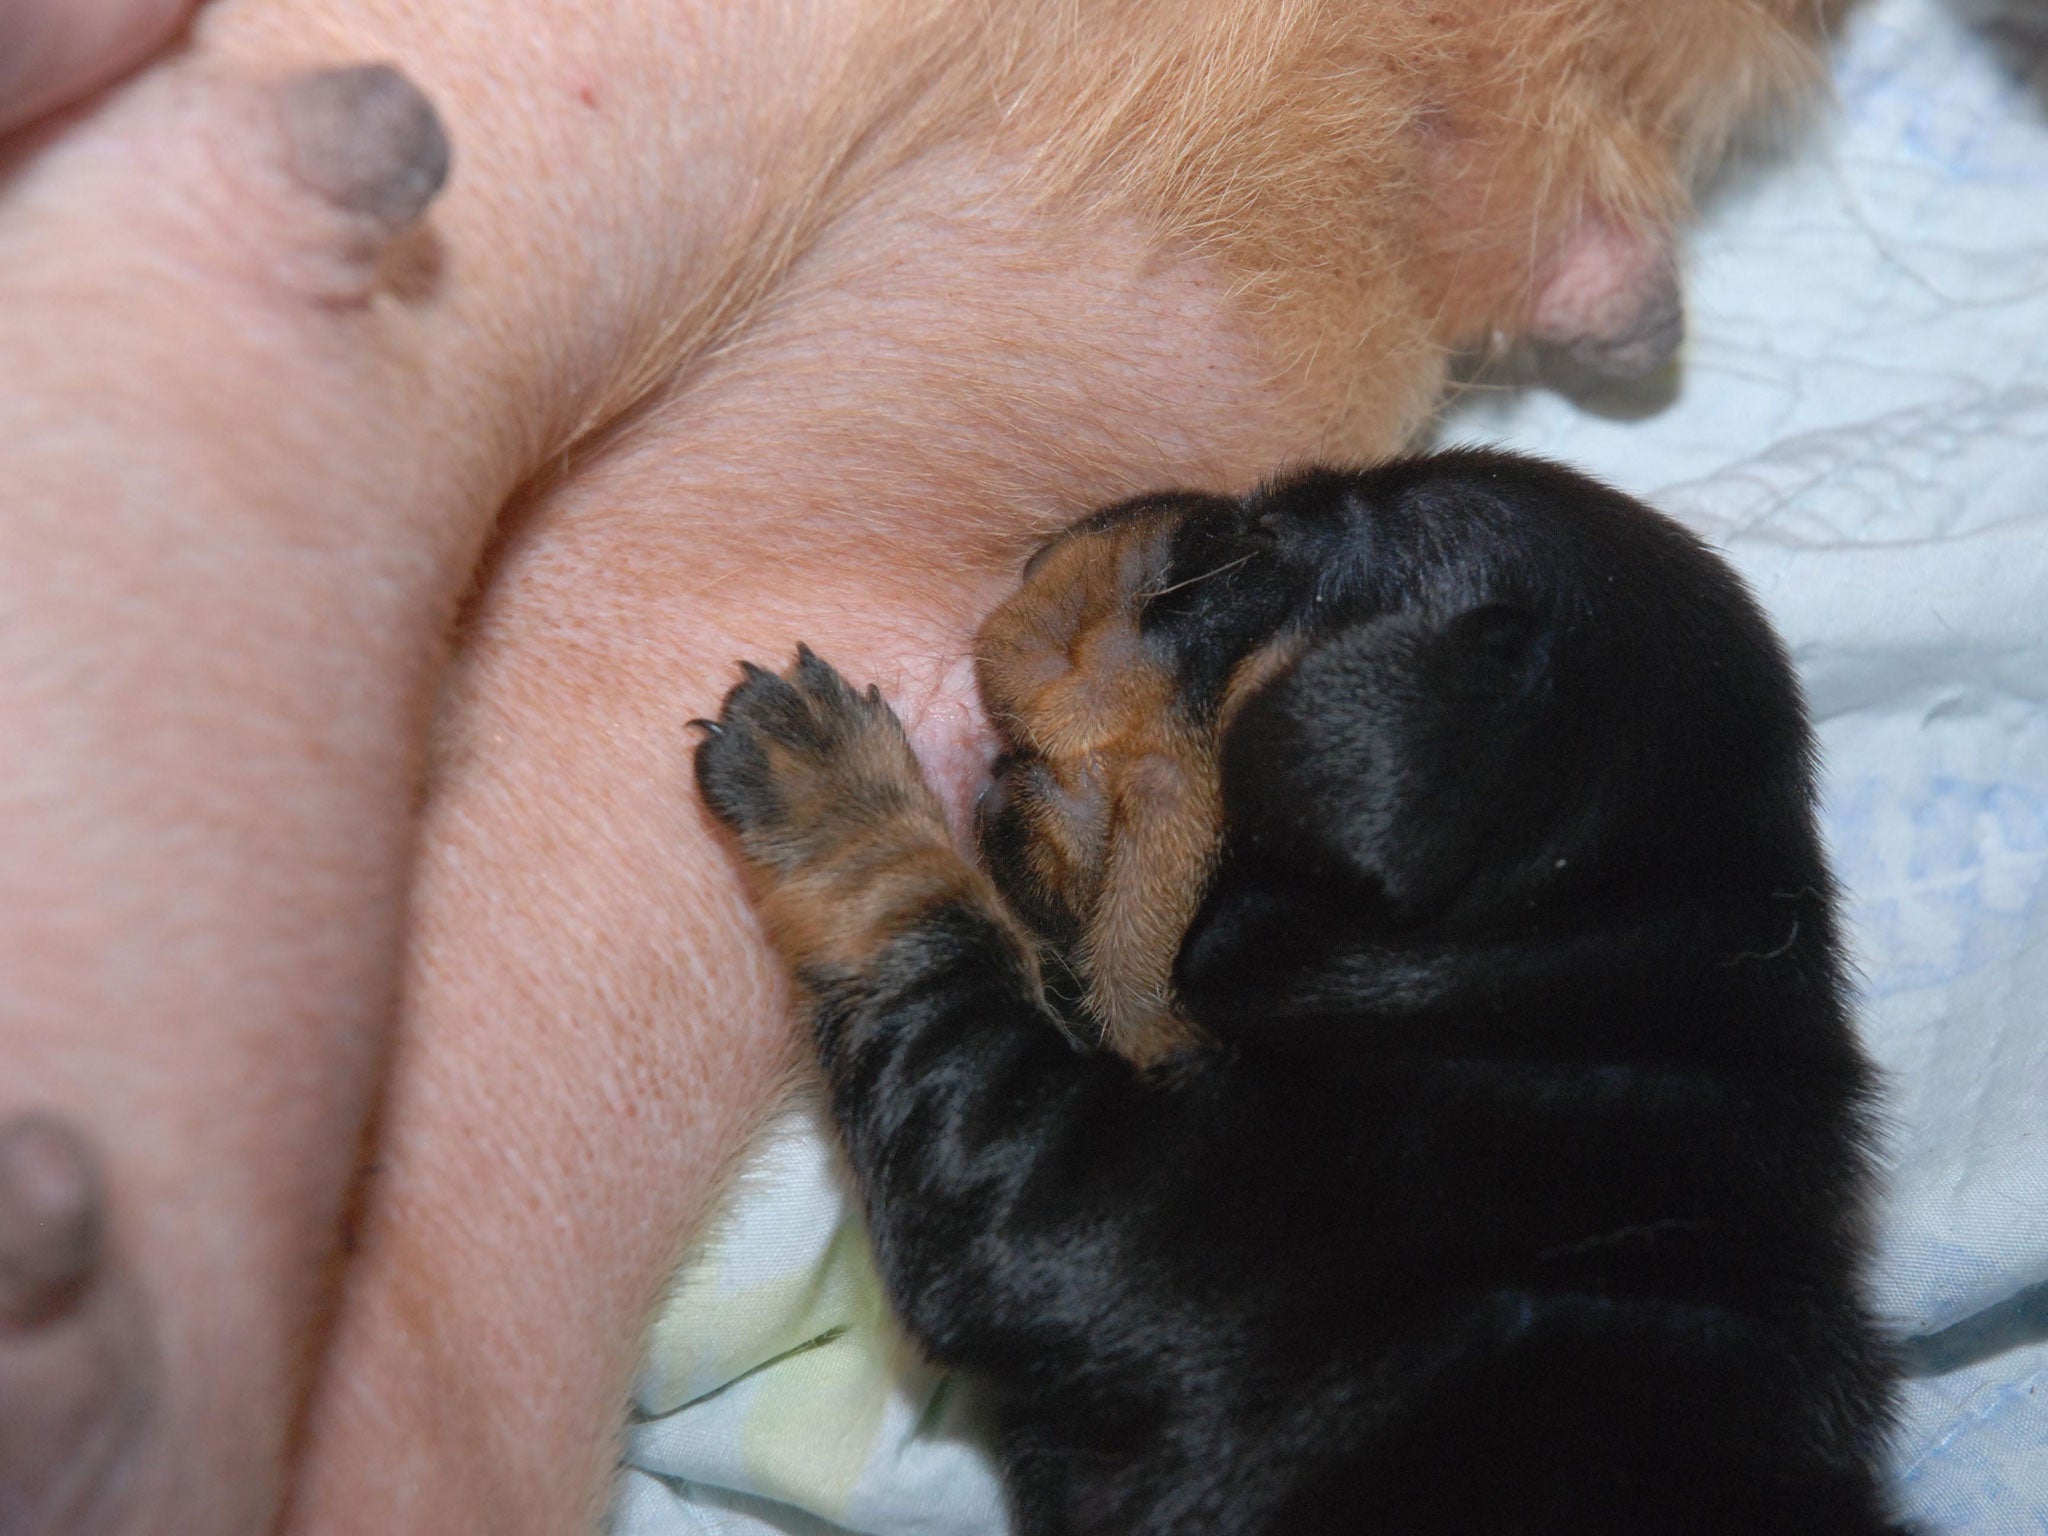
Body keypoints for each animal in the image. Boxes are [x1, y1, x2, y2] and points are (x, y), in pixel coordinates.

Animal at [696, 450, 1908, 1536]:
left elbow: (934, 951)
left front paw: (827, 774)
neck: (1520, 1000)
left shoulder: (1066, 1192)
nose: (1042, 547)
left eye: (1229, 555)